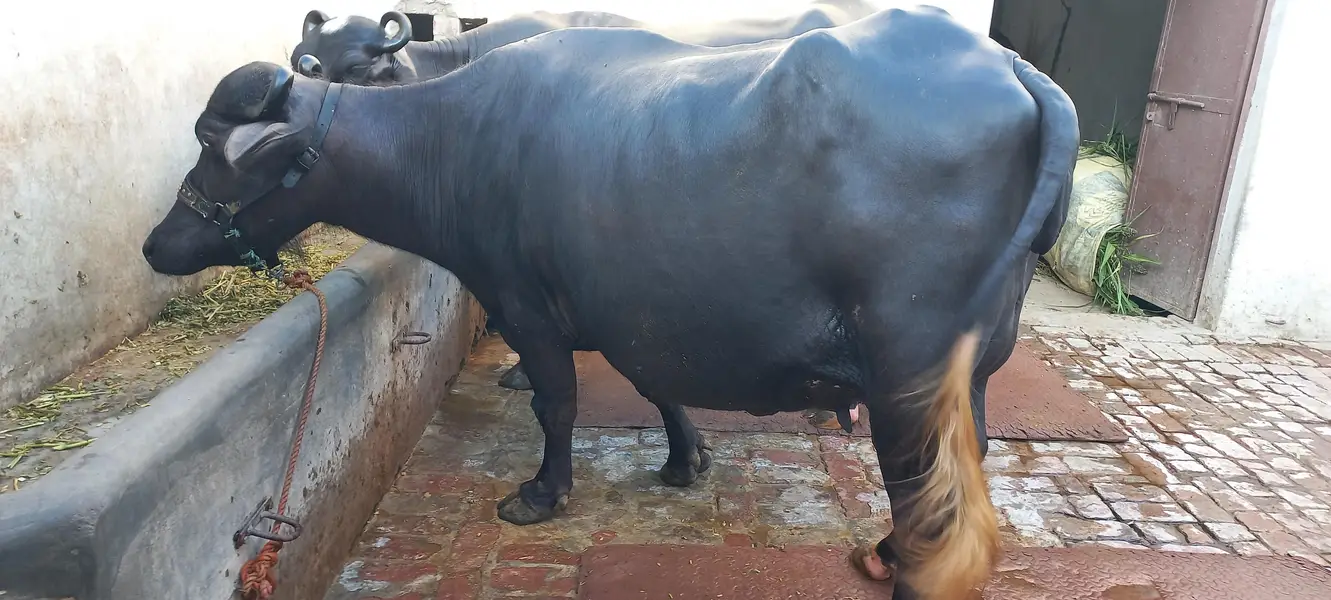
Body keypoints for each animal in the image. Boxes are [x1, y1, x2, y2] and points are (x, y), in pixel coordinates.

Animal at [142, 7, 1077, 599]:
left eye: (211, 144)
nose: (156, 246)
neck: (454, 137)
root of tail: (1014, 70)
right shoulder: (637, 303)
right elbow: (654, 380)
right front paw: (684, 459)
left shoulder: (521, 297)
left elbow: (557, 402)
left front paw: (540, 493)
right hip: (969, 370)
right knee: (963, 461)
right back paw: (882, 551)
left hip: (908, 372)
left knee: (928, 492)